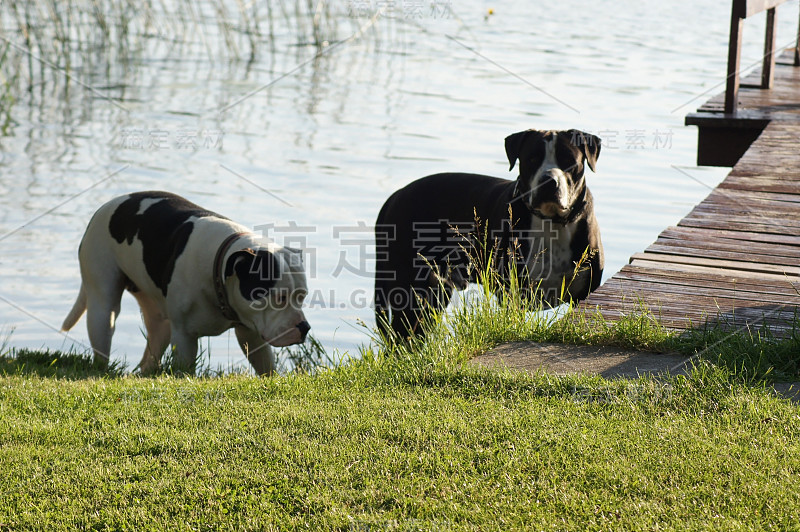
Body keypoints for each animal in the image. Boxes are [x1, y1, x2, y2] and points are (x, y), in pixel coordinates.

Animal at [58, 191, 310, 374]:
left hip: (159, 319)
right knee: (104, 328)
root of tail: (106, 206)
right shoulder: (185, 339)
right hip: (102, 303)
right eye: (279, 298)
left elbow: (266, 367)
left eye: (302, 296)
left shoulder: (252, 334)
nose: (304, 327)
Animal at [372, 129, 604, 336]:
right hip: (409, 289)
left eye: (568, 159)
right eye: (532, 159)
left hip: (434, 294)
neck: (552, 222)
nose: (548, 180)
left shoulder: (585, 293)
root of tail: (394, 196)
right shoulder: (513, 294)